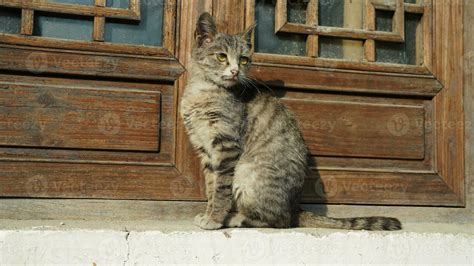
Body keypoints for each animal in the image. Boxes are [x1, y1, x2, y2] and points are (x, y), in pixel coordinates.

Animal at [180, 11, 402, 230]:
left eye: (243, 60)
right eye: (221, 56)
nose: (235, 71)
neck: (203, 92)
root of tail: (296, 206)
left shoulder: (227, 146)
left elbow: (221, 189)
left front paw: (215, 219)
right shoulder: (205, 149)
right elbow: (211, 187)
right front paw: (208, 212)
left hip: (246, 171)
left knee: (279, 220)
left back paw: (235, 218)